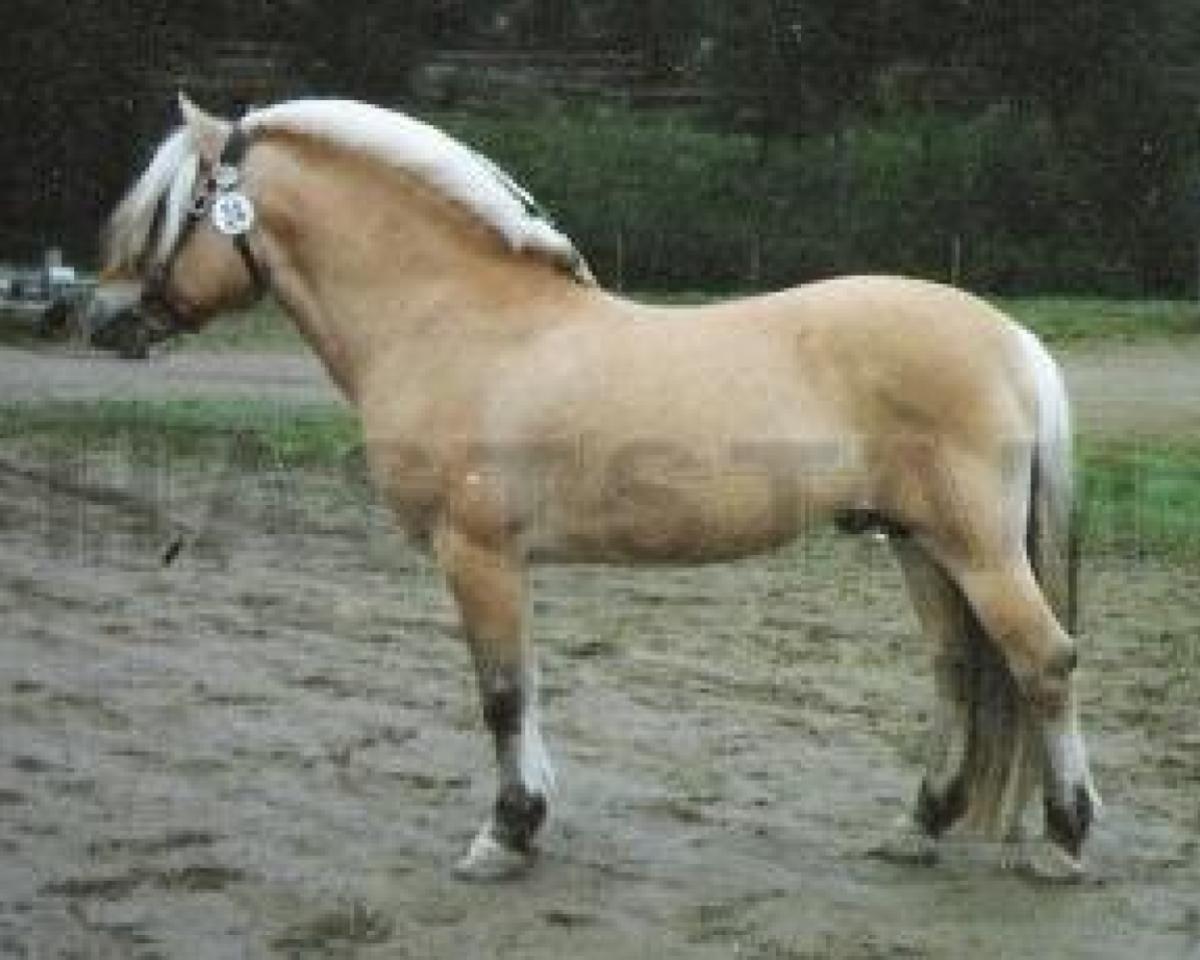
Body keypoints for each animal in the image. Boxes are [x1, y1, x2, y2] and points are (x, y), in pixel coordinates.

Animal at [91, 95, 1100, 882]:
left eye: (172, 211)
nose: (100, 318)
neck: (455, 320)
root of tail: (1013, 339)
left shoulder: (476, 553)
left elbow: (501, 693)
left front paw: (503, 837)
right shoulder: (503, 562)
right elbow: (528, 684)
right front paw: (528, 821)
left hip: (975, 550)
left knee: (1042, 661)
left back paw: (1064, 842)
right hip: (917, 546)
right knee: (959, 671)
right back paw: (917, 826)